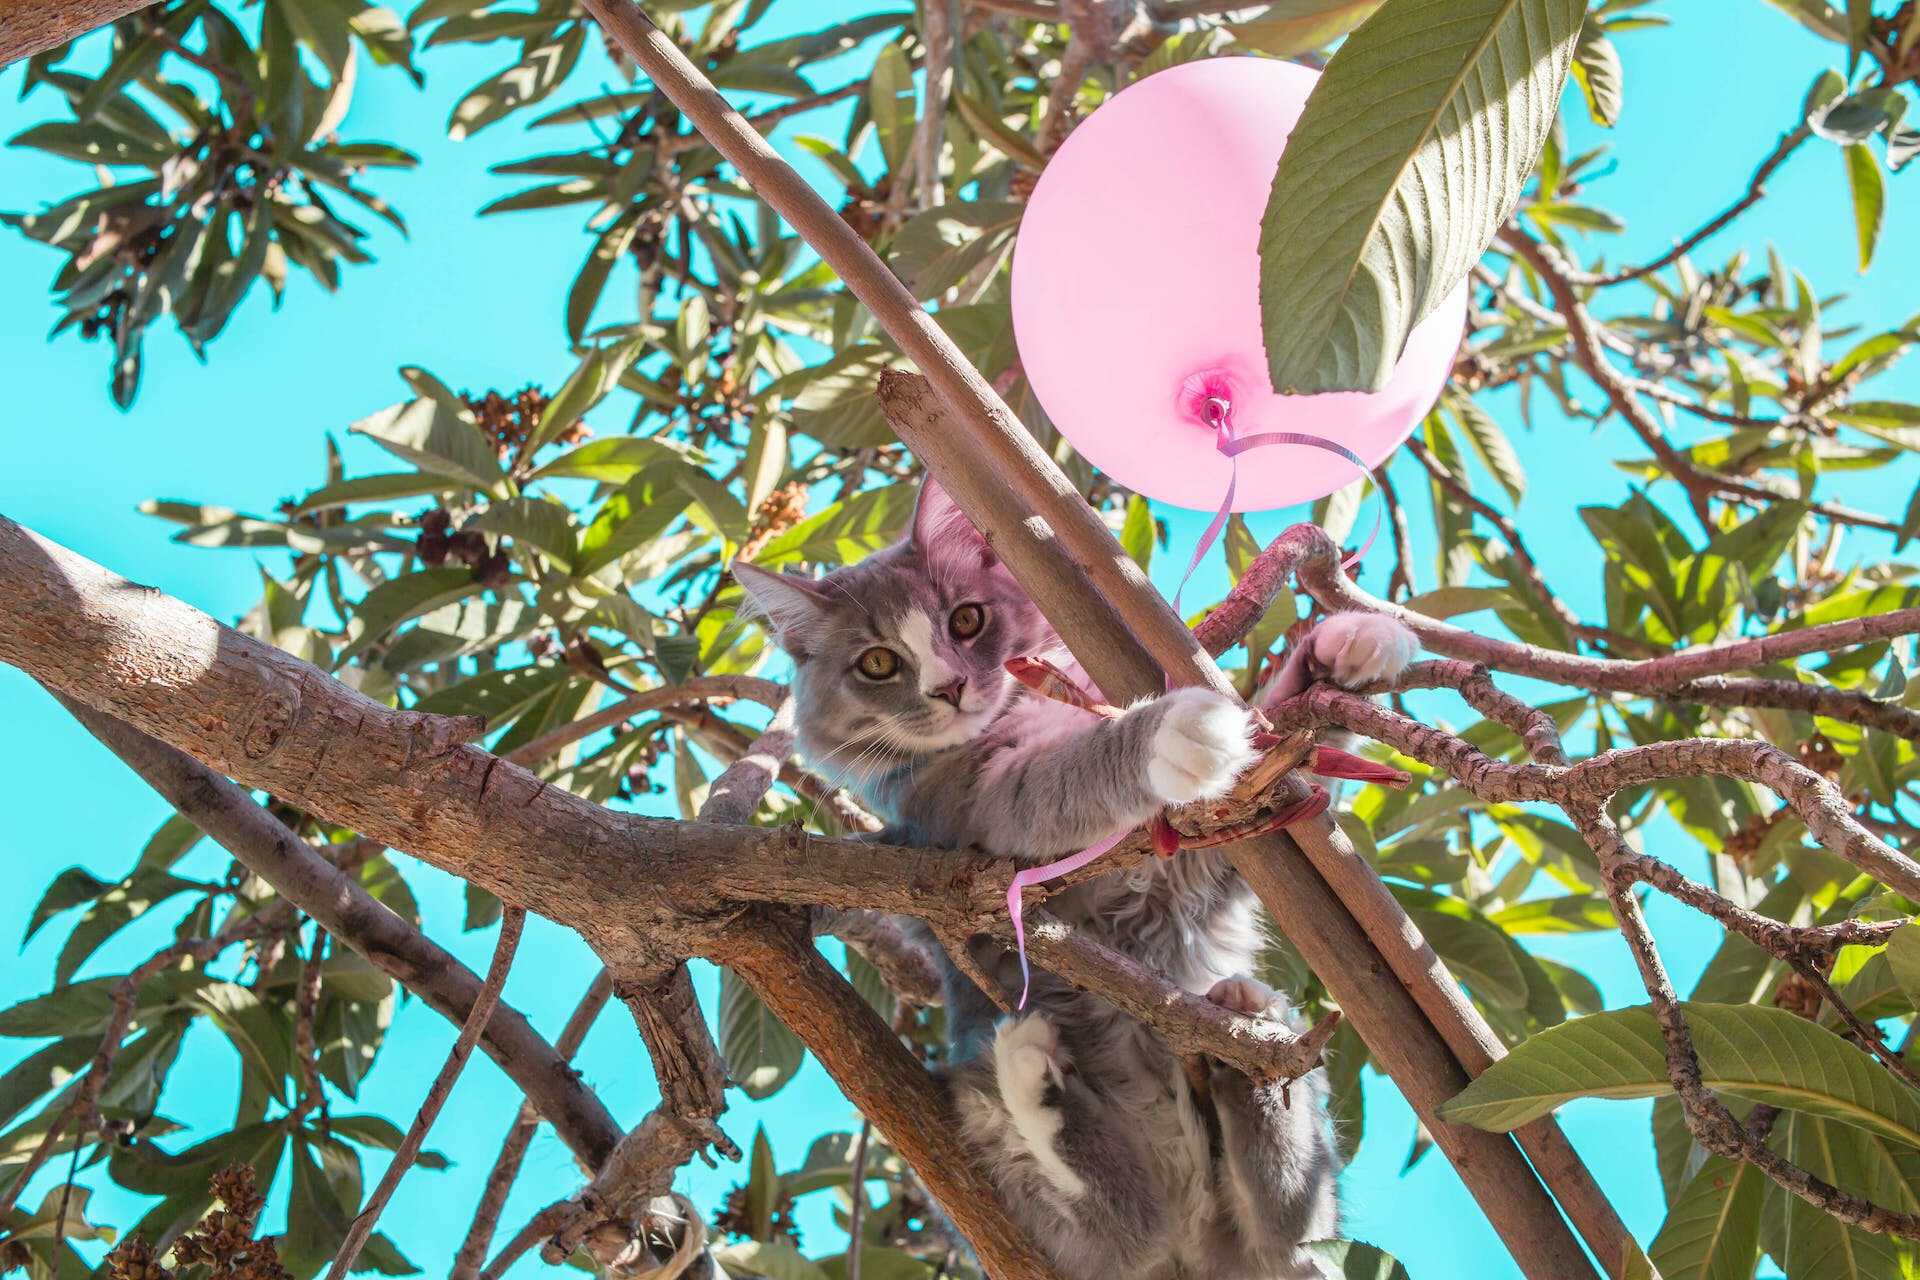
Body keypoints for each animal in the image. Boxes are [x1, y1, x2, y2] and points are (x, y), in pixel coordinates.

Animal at [725, 479, 1420, 1280]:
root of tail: (1192, 1248)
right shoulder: (983, 810)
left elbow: (1280, 743)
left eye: (967, 619)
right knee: (1122, 1222)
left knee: (1283, 1219)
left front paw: (1350, 647)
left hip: (1290, 1167)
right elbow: (1077, 772)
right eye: (877, 664)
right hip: (982, 1109)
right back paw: (1034, 1073)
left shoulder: (1185, 874)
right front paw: (1170, 735)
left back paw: (1246, 1042)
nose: (949, 686)